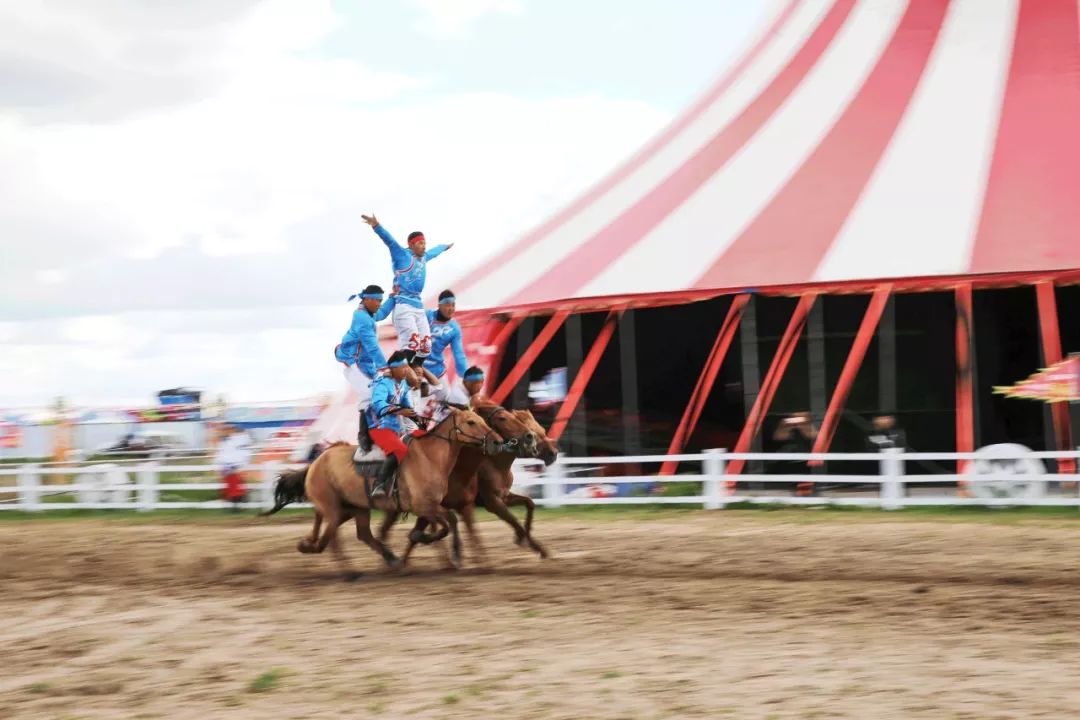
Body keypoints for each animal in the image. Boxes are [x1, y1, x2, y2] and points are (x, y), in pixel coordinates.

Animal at [261, 408, 501, 569]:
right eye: (471, 422)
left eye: (481, 420)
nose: (497, 442)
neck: (428, 457)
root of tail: (316, 462)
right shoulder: (423, 506)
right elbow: (448, 522)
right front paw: (450, 551)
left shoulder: (430, 507)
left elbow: (447, 523)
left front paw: (426, 541)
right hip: (334, 506)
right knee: (332, 532)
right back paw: (343, 566)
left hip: (354, 508)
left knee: (356, 532)